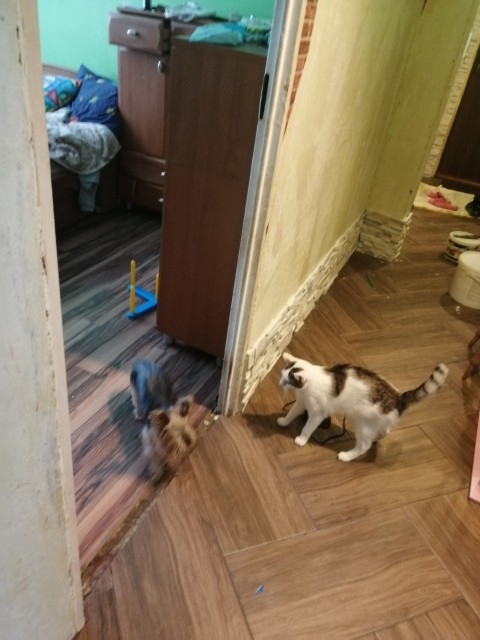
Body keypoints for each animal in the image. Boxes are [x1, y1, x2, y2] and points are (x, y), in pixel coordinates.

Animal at [277, 352, 449, 462]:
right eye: (281, 376)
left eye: (286, 381)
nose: (279, 384)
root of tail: (399, 398)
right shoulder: (301, 403)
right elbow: (291, 413)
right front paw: (284, 421)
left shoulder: (317, 413)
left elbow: (308, 428)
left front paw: (301, 440)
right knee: (385, 431)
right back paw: (376, 438)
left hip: (363, 425)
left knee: (364, 446)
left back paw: (346, 456)